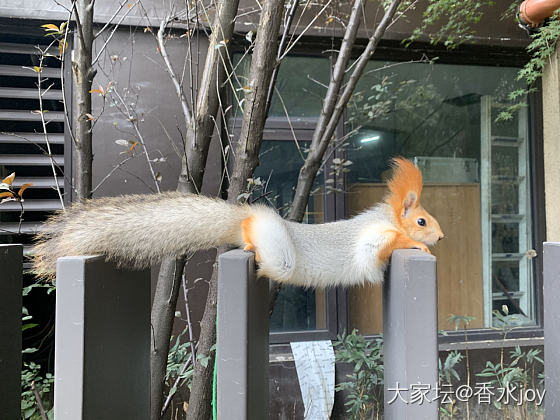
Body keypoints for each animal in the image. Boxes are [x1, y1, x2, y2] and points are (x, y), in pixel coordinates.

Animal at [30, 158, 444, 288]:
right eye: (422, 220)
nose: (441, 236)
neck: (384, 218)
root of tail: (245, 215)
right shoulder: (371, 238)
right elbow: (384, 246)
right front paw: (416, 244)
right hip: (280, 252)